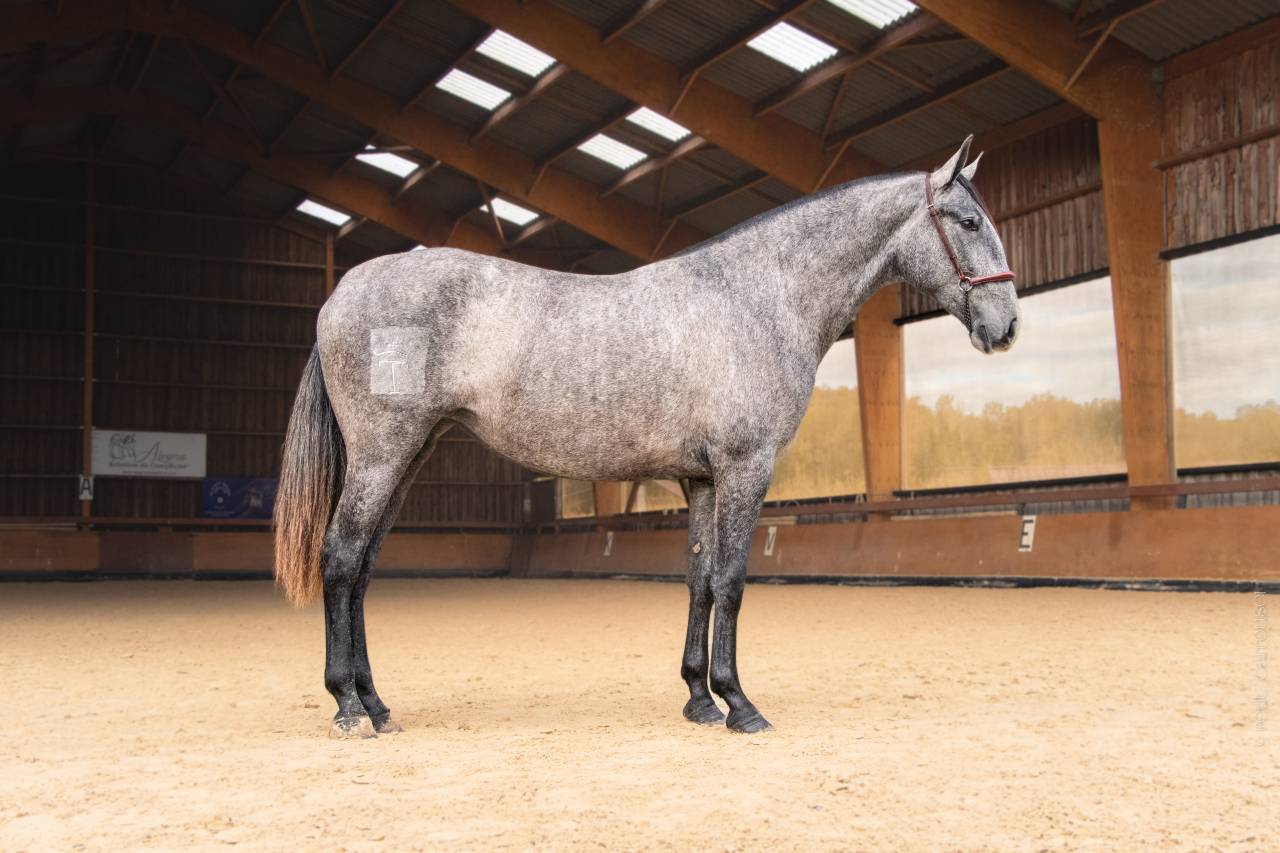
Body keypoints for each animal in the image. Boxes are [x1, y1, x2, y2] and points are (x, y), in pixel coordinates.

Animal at [273, 135, 1020, 738]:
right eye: (968, 220)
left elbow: (698, 579)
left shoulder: (701, 478)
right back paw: (348, 707)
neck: (755, 296)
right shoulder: (746, 468)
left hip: (408, 455)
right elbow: (732, 580)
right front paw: (740, 704)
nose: (1007, 327)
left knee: (362, 569)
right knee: (340, 558)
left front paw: (699, 698)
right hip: (381, 455)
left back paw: (377, 704)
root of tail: (341, 292)